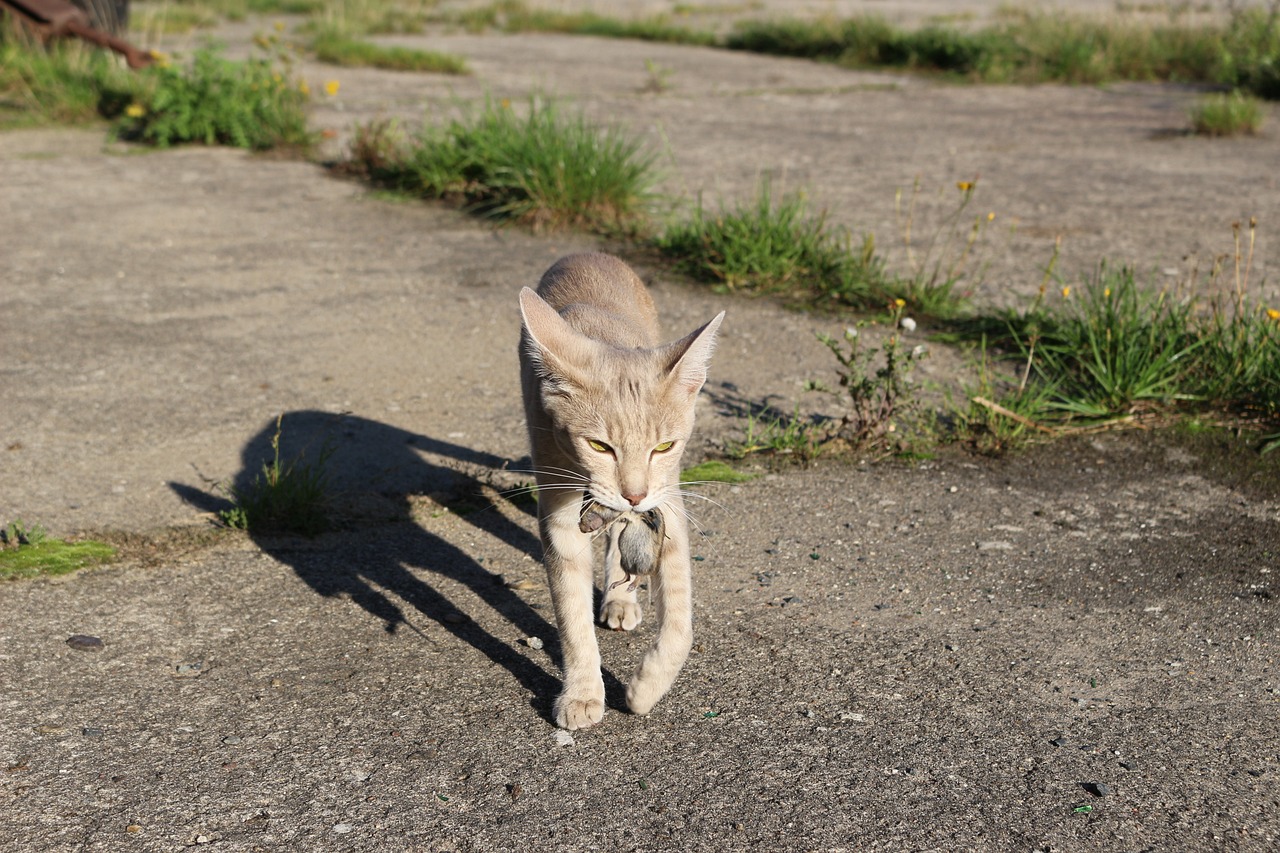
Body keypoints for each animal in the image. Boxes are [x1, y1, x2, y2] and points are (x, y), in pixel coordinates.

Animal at [517, 252, 721, 732]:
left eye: (663, 447)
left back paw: (620, 597)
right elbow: (572, 618)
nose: (634, 493)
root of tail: (589, 253)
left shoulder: (669, 505)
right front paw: (583, 693)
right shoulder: (559, 517)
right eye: (599, 446)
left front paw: (645, 690)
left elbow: (681, 624)